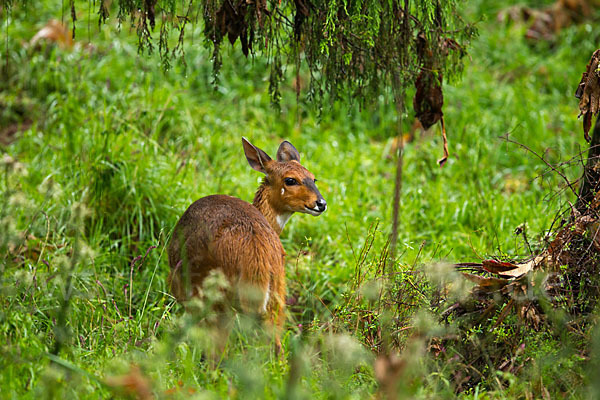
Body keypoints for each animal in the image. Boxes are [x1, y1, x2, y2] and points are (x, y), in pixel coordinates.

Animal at [168, 138, 328, 350]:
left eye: (313, 178)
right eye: (290, 180)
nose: (321, 203)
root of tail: (257, 253)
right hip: (277, 293)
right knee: (275, 343)